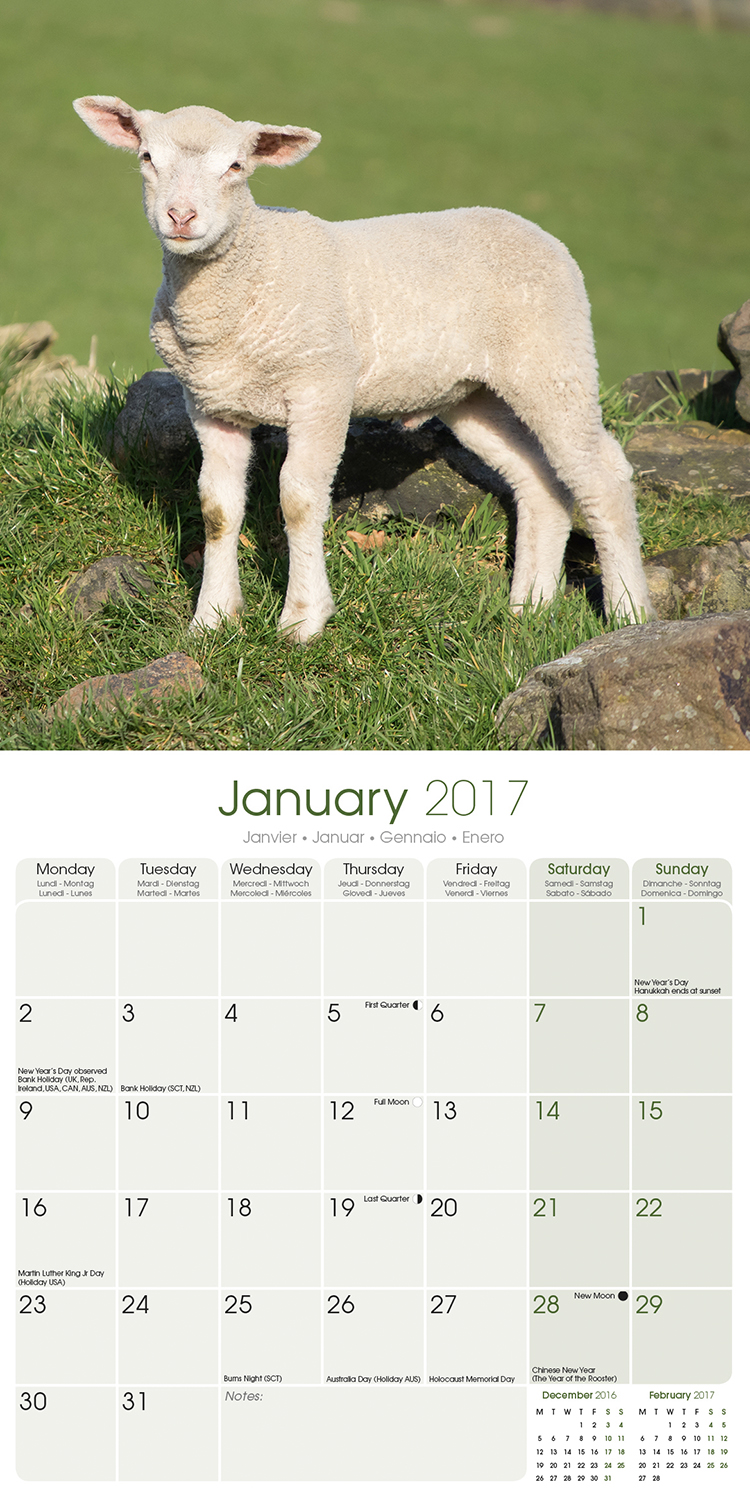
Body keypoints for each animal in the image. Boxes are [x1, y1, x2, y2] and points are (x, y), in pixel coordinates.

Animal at [74, 95, 654, 639]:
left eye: (236, 167)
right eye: (147, 157)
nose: (181, 217)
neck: (250, 269)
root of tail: (535, 231)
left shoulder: (323, 386)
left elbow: (300, 500)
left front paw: (302, 619)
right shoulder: (210, 402)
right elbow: (217, 509)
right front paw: (213, 619)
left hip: (553, 358)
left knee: (601, 475)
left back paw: (629, 611)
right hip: (474, 393)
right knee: (539, 481)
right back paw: (529, 606)